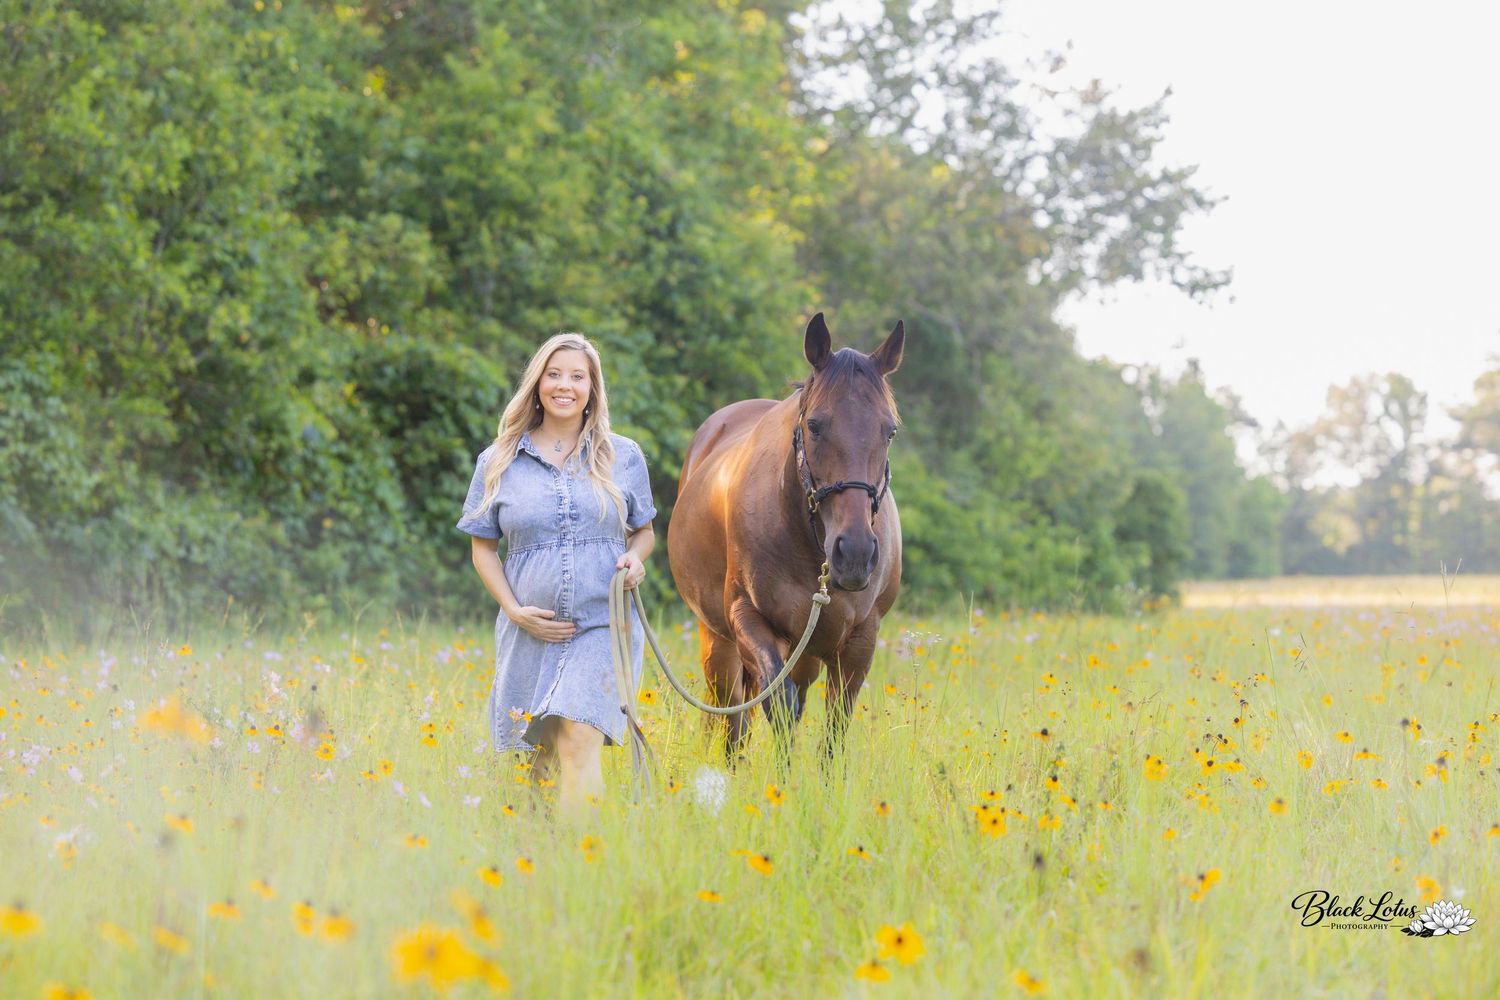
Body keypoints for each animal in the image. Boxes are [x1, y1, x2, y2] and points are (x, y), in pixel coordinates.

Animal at [666, 313, 904, 764]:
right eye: (815, 425)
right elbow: (778, 706)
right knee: (732, 716)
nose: (855, 553)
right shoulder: (749, 620)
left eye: (890, 431)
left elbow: (834, 727)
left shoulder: (860, 640)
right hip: (719, 644)